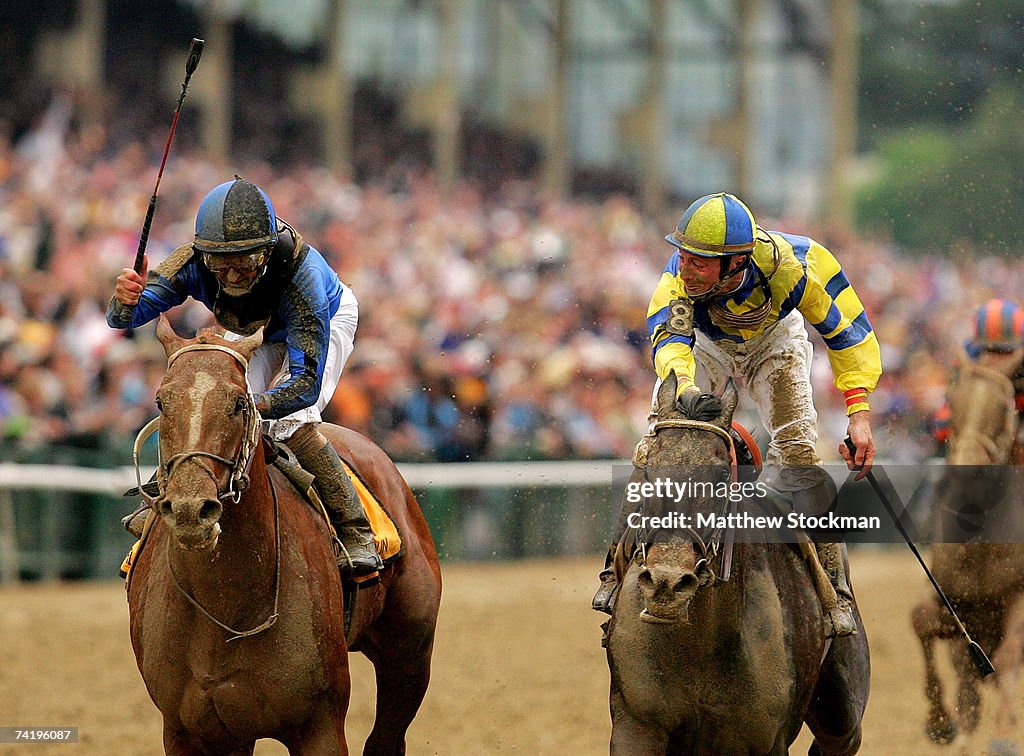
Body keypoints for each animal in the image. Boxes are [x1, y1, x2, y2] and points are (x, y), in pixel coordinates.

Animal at [125, 315, 442, 749]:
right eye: (161, 402)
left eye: (239, 404)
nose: (191, 510)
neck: (225, 605)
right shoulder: (189, 731)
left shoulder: (320, 723)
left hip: (409, 656)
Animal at [602, 376, 868, 753]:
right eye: (648, 469)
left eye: (719, 476)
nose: (667, 583)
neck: (697, 646)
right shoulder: (636, 724)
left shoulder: (764, 740)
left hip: (843, 709)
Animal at [917, 358, 1024, 749]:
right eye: (952, 402)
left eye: (1005, 407)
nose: (965, 478)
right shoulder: (954, 599)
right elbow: (923, 622)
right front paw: (943, 724)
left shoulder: (1016, 593)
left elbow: (1010, 654)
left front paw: (1004, 735)